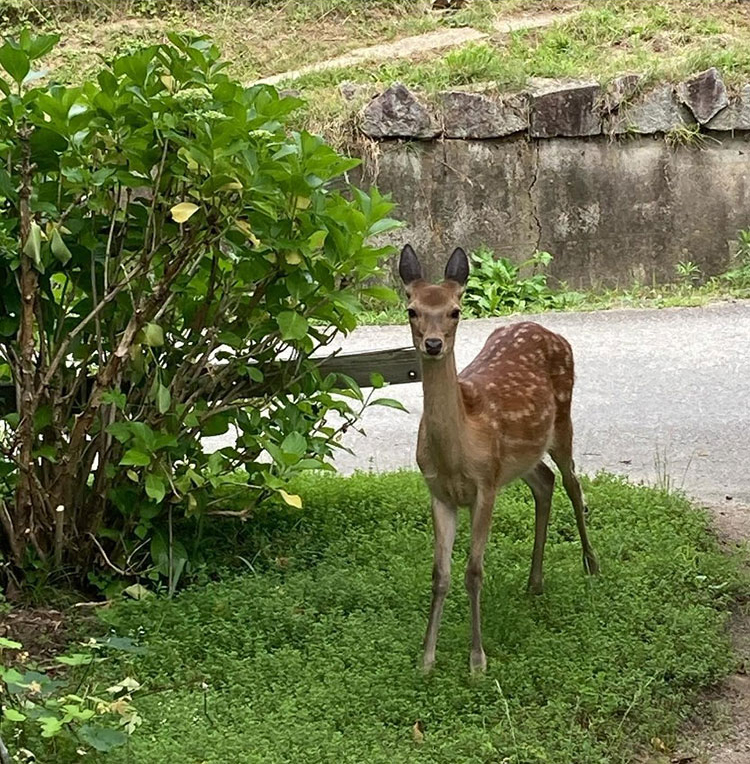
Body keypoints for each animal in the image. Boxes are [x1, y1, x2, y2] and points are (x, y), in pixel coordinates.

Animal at [402, 245, 604, 676]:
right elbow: (440, 574)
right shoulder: (439, 492)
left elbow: (473, 571)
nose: (433, 344)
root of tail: (551, 332)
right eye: (411, 309)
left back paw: (591, 564)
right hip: (519, 458)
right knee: (545, 482)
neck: (457, 454)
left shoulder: (486, 485)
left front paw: (477, 661)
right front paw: (426, 659)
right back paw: (534, 582)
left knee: (573, 483)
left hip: (562, 422)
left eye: (455, 310)